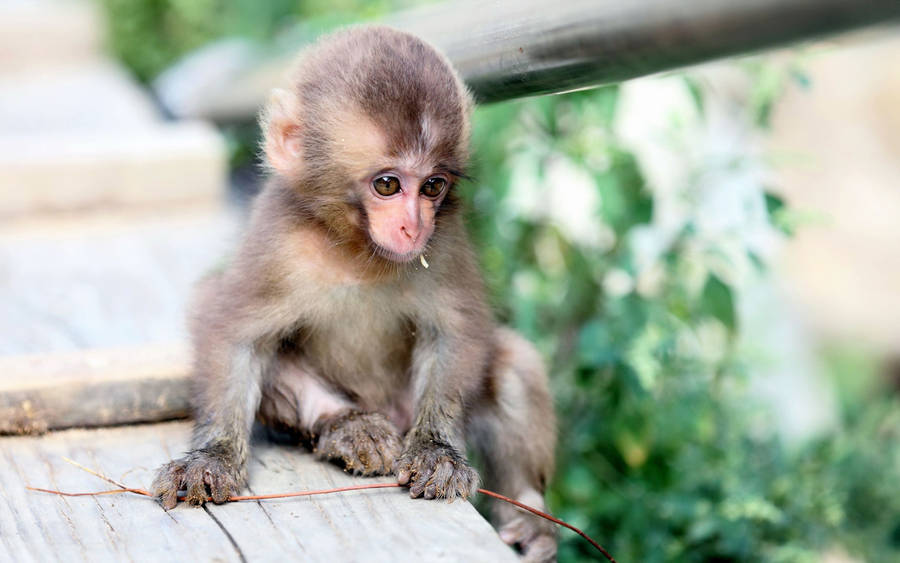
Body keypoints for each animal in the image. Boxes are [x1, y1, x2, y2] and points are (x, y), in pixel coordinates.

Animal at [152, 26, 557, 561]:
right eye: (387, 185)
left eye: (433, 187)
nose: (413, 227)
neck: (355, 249)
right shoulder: (275, 239)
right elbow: (227, 328)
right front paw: (212, 456)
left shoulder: (444, 240)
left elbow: (458, 329)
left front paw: (436, 450)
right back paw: (347, 425)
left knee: (512, 361)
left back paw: (529, 514)